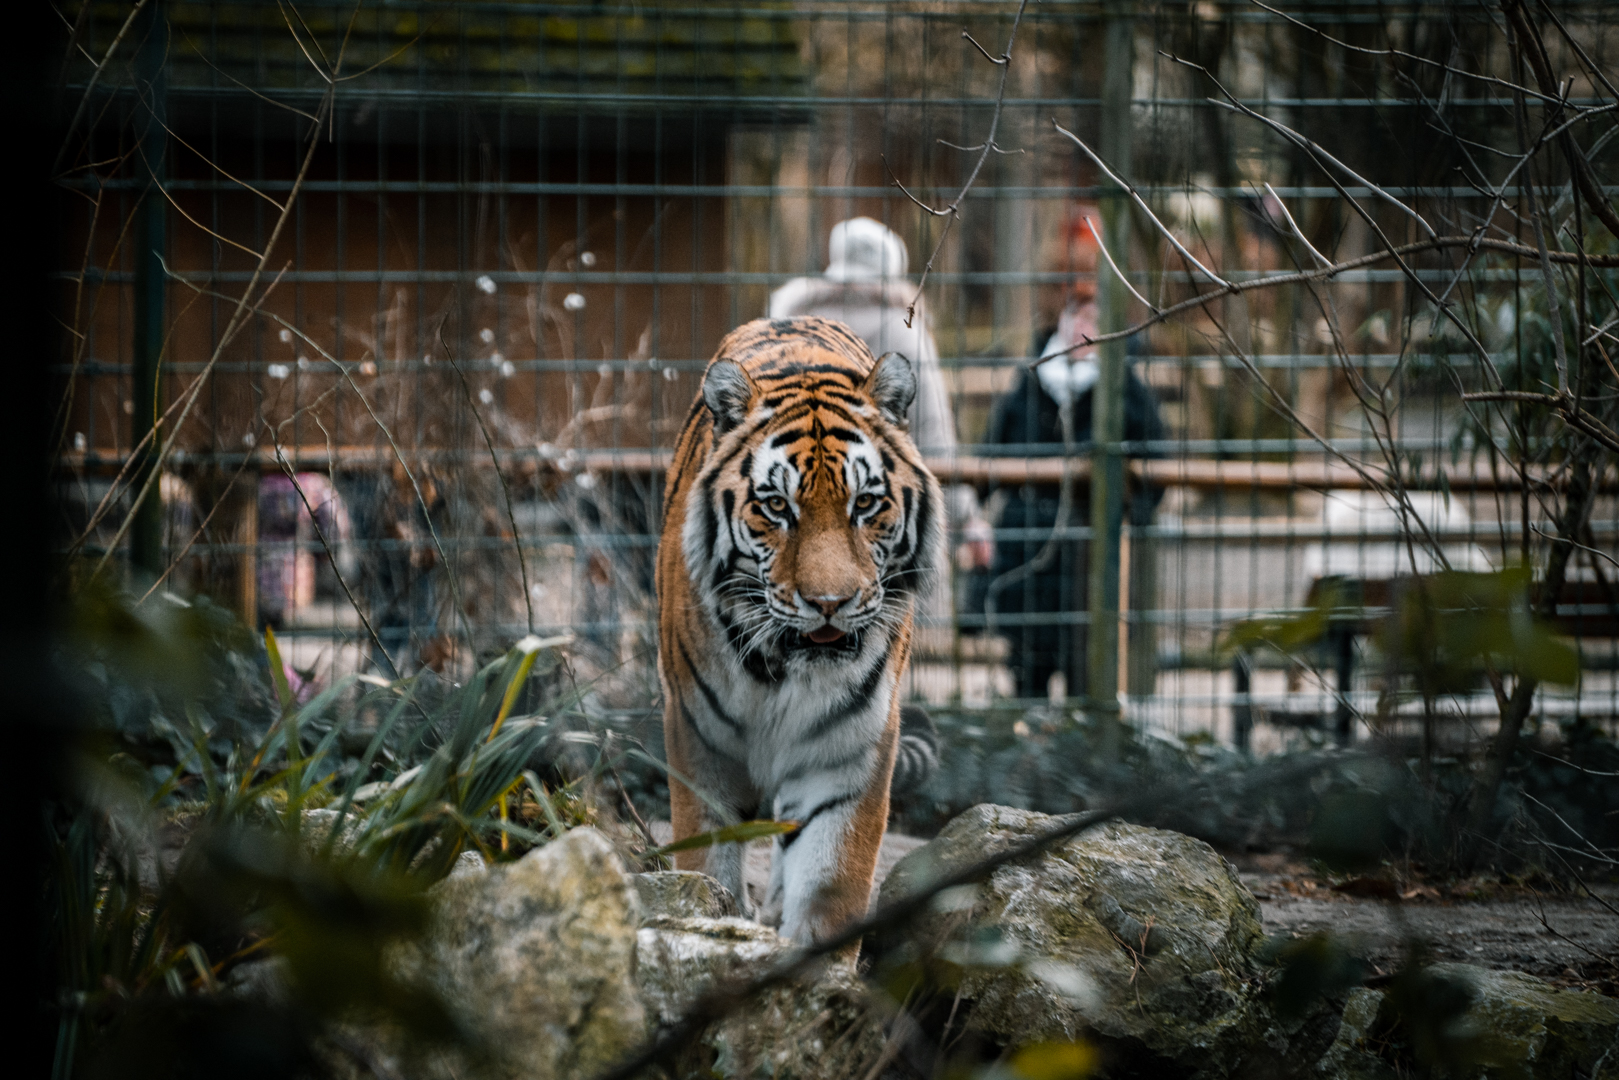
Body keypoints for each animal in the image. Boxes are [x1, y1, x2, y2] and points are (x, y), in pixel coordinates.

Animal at [656, 315, 945, 945]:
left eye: (866, 503)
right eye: (776, 507)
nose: (829, 603)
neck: (779, 671)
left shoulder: (850, 750)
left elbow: (830, 884)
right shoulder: (698, 740)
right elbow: (706, 859)